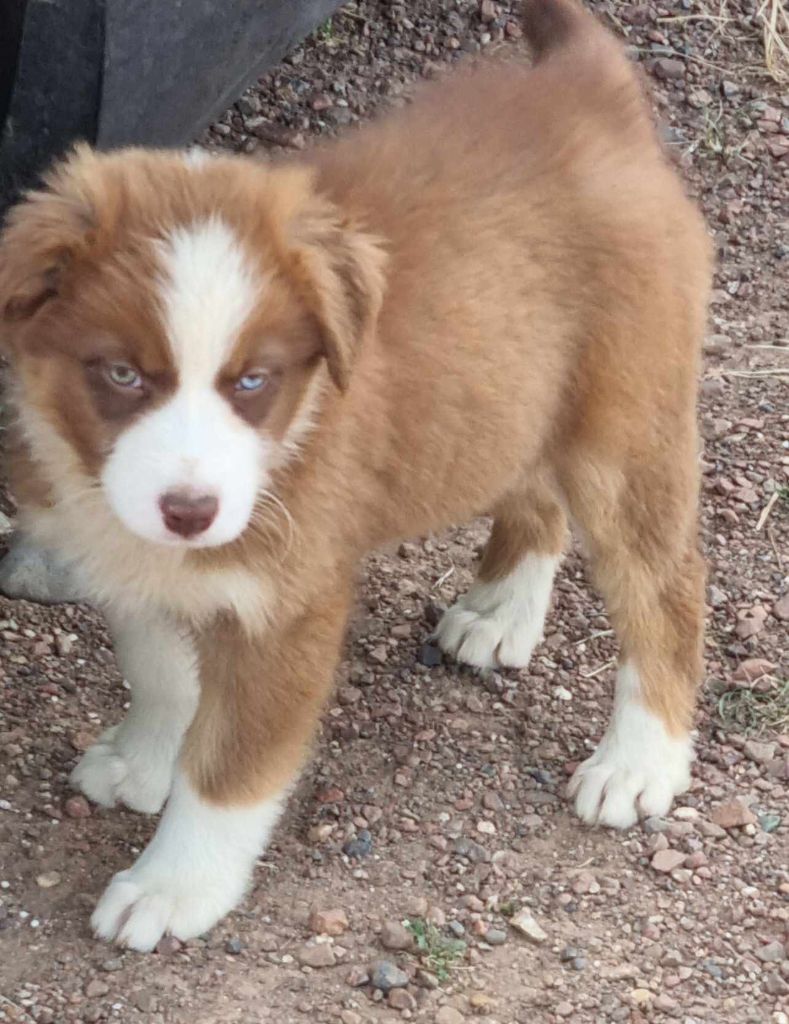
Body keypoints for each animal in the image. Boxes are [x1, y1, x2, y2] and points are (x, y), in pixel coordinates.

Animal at [0, 0, 711, 950]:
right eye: (120, 374)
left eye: (252, 382)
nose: (190, 510)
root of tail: (584, 89)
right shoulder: (128, 556)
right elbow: (158, 668)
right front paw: (148, 758)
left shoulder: (288, 606)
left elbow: (231, 770)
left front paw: (173, 887)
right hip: (512, 386)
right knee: (532, 490)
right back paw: (500, 613)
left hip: (623, 428)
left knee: (664, 589)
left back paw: (638, 762)